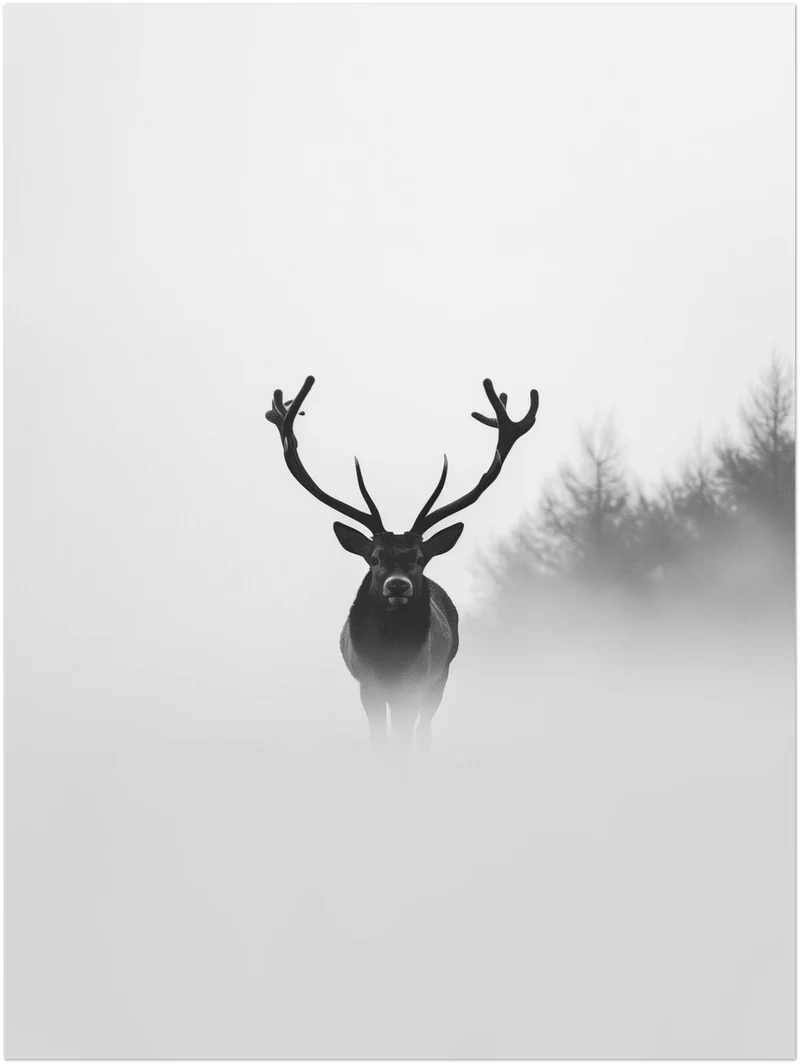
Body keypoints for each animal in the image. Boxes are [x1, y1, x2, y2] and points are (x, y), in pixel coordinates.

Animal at [265, 376, 539, 750]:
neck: (390, 659)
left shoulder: (418, 680)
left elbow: (404, 741)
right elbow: (381, 741)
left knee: (424, 729)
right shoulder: (367, 684)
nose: (397, 585)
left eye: (421, 558)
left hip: (441, 675)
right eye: (375, 557)